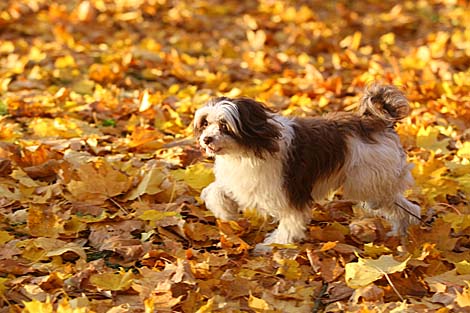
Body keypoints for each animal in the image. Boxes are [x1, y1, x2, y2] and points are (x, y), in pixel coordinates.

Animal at [193, 84, 420, 247]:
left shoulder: (290, 192)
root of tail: (378, 122)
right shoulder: (241, 180)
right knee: (407, 207)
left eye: (224, 126)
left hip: (370, 182)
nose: (206, 139)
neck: (247, 150)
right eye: (205, 123)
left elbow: (291, 221)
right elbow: (215, 190)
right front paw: (225, 212)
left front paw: (275, 245)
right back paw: (400, 233)